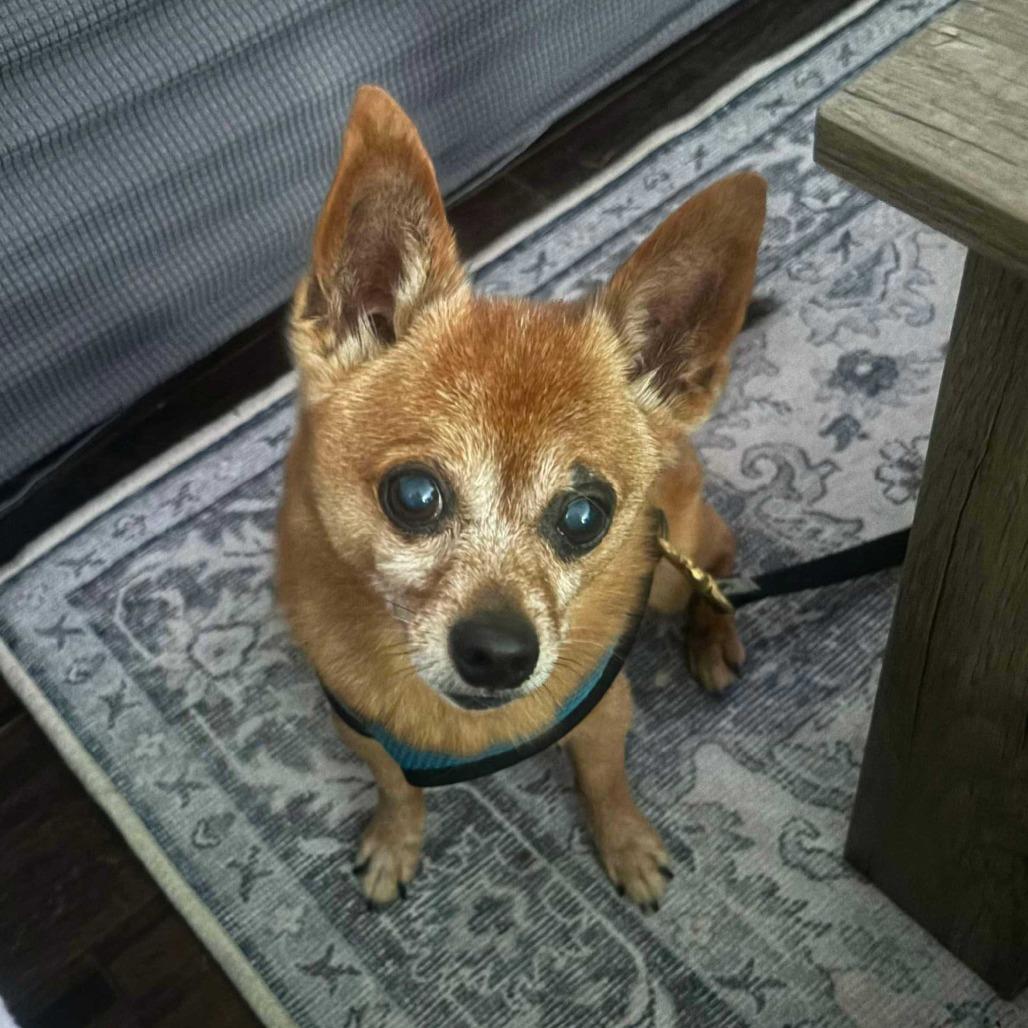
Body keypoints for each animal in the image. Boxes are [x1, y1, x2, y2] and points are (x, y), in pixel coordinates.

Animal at [277, 85, 764, 910]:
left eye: (585, 516)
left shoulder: (605, 719)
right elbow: (397, 789)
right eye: (414, 495)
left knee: (720, 563)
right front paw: (396, 841)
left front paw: (627, 847)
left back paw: (712, 635)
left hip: (670, 570)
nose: (500, 654)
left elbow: (606, 785)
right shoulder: (361, 734)